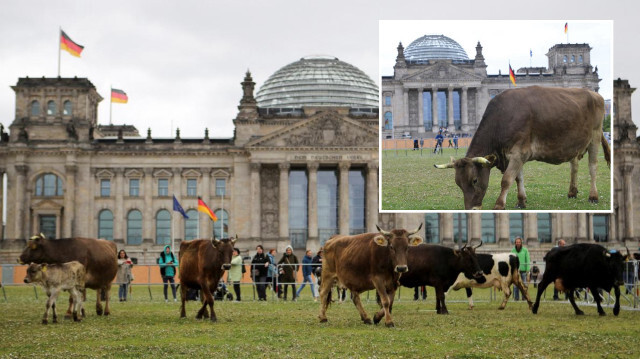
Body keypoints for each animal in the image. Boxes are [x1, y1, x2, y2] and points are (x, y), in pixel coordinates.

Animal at [436, 86, 608, 211]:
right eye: (458, 183)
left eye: (474, 180)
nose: (471, 209)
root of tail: (595, 94)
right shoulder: (514, 155)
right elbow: (518, 178)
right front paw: (521, 201)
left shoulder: (519, 152)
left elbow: (507, 180)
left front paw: (499, 204)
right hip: (574, 144)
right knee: (574, 167)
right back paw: (572, 191)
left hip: (595, 137)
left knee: (593, 167)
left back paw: (593, 196)